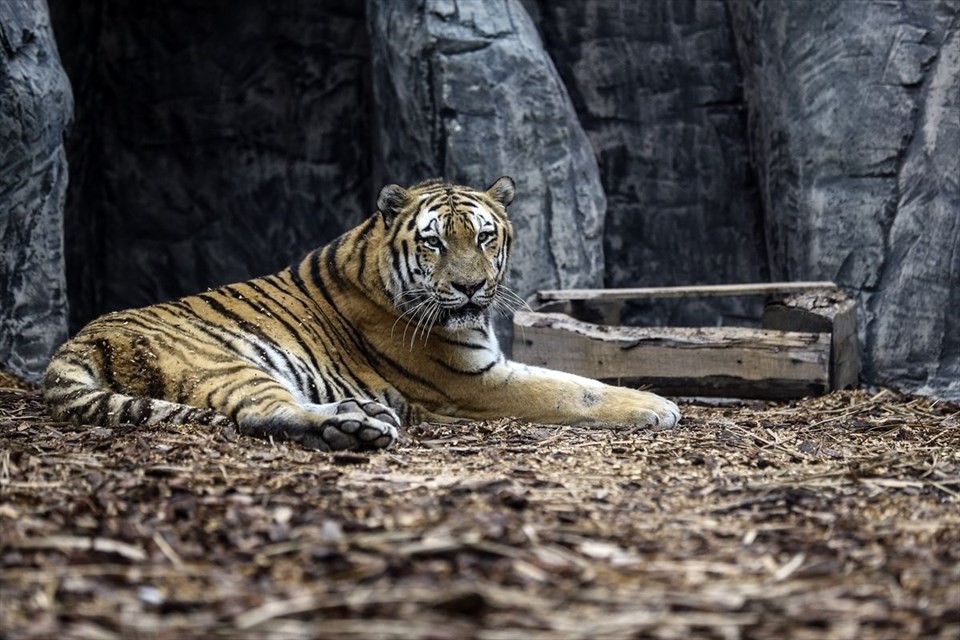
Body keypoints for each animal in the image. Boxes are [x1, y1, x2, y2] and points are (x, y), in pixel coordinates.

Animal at [41, 176, 680, 450]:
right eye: (434, 242)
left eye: (484, 237)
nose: (472, 288)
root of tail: (74, 343)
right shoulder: (474, 382)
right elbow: (573, 389)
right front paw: (656, 406)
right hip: (226, 362)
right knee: (260, 414)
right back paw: (357, 427)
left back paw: (358, 416)